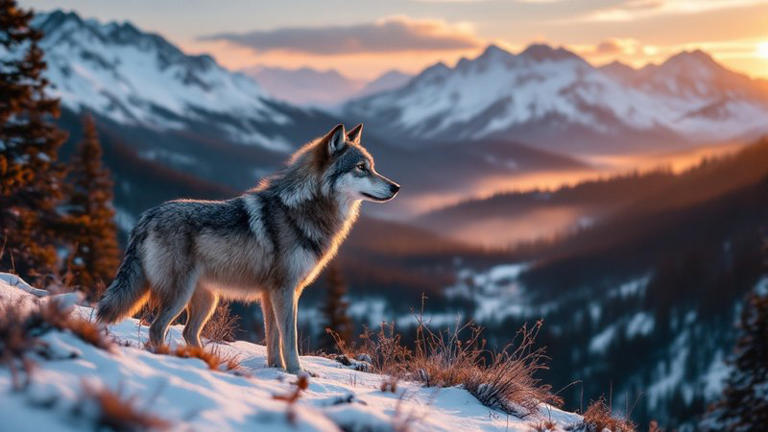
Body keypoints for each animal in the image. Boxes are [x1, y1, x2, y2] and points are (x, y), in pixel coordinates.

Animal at [96, 124, 399, 373]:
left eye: (372, 166)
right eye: (361, 167)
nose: (396, 187)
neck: (302, 209)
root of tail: (146, 216)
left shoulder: (272, 293)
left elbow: (273, 338)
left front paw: (276, 370)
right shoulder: (285, 290)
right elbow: (290, 339)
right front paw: (297, 373)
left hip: (207, 300)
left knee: (188, 333)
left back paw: (205, 361)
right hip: (180, 296)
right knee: (157, 330)